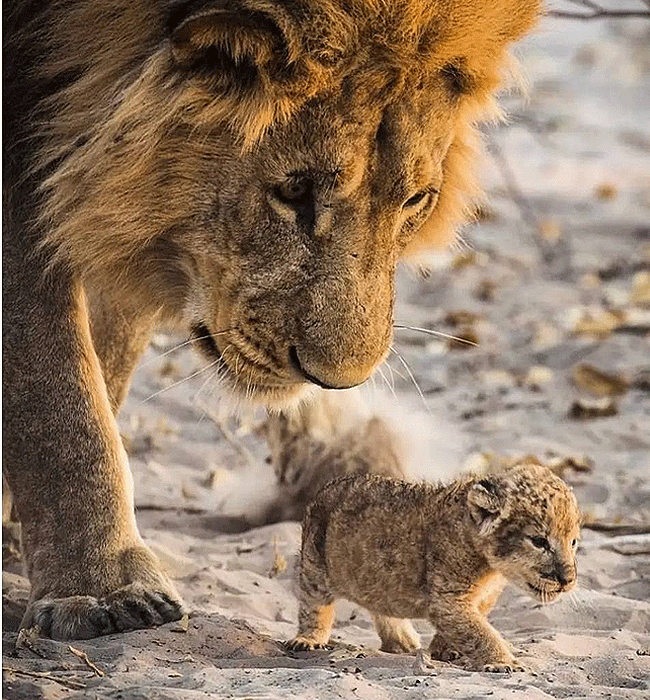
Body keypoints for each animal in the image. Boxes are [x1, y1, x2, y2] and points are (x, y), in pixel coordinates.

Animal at [3, 0, 540, 639]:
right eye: (294, 190)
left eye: (416, 200)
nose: (334, 382)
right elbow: (54, 384)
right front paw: (100, 587)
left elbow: (106, 357)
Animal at [288, 464, 580, 672]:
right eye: (539, 541)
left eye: (574, 542)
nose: (567, 579)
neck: (491, 569)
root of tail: (325, 488)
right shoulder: (448, 599)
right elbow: (479, 631)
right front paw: (503, 662)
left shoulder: (480, 597)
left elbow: (472, 623)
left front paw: (444, 649)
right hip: (315, 565)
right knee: (314, 605)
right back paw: (308, 639)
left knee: (379, 603)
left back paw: (402, 641)